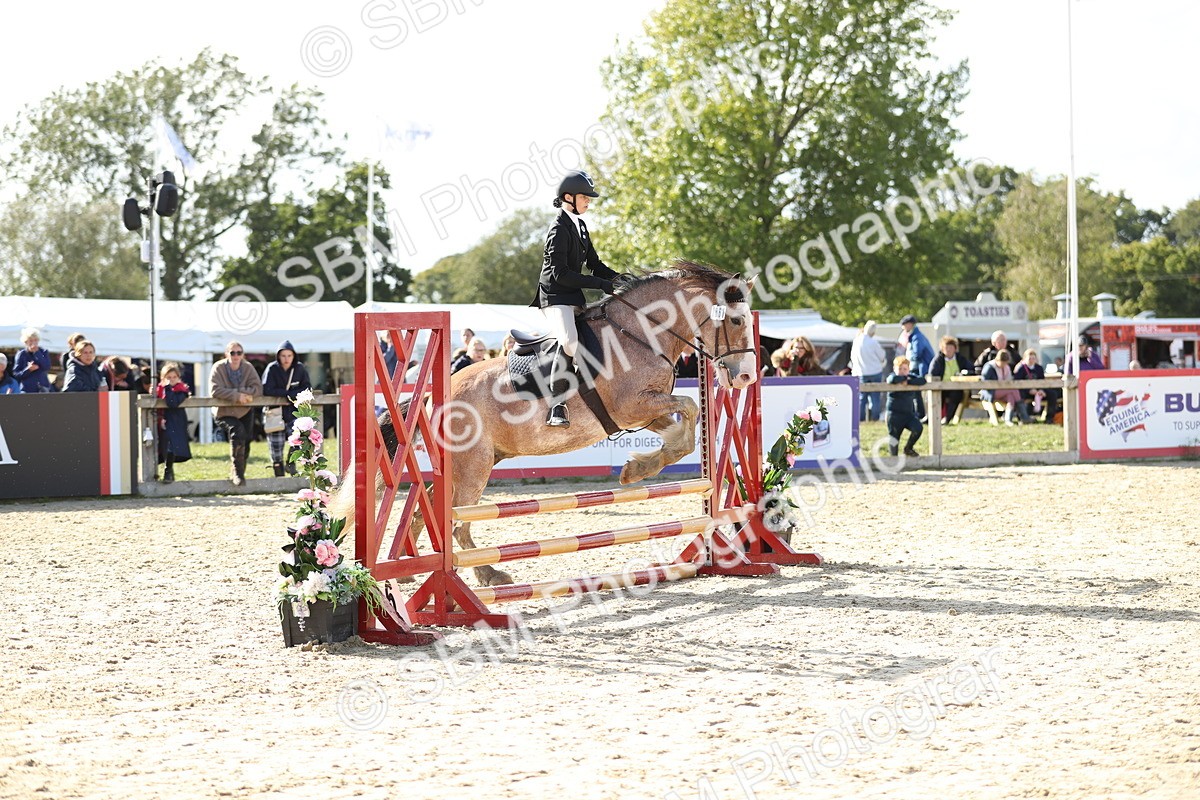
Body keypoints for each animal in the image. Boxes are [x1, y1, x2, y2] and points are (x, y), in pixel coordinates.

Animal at [330, 260, 759, 588]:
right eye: (736, 320)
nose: (746, 378)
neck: (641, 331)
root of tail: (431, 396)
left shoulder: (643, 412)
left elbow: (684, 428)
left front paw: (639, 467)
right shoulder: (632, 406)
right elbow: (689, 407)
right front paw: (639, 468)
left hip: (473, 464)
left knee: (434, 512)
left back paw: (408, 573)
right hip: (473, 466)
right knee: (456, 523)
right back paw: (488, 575)